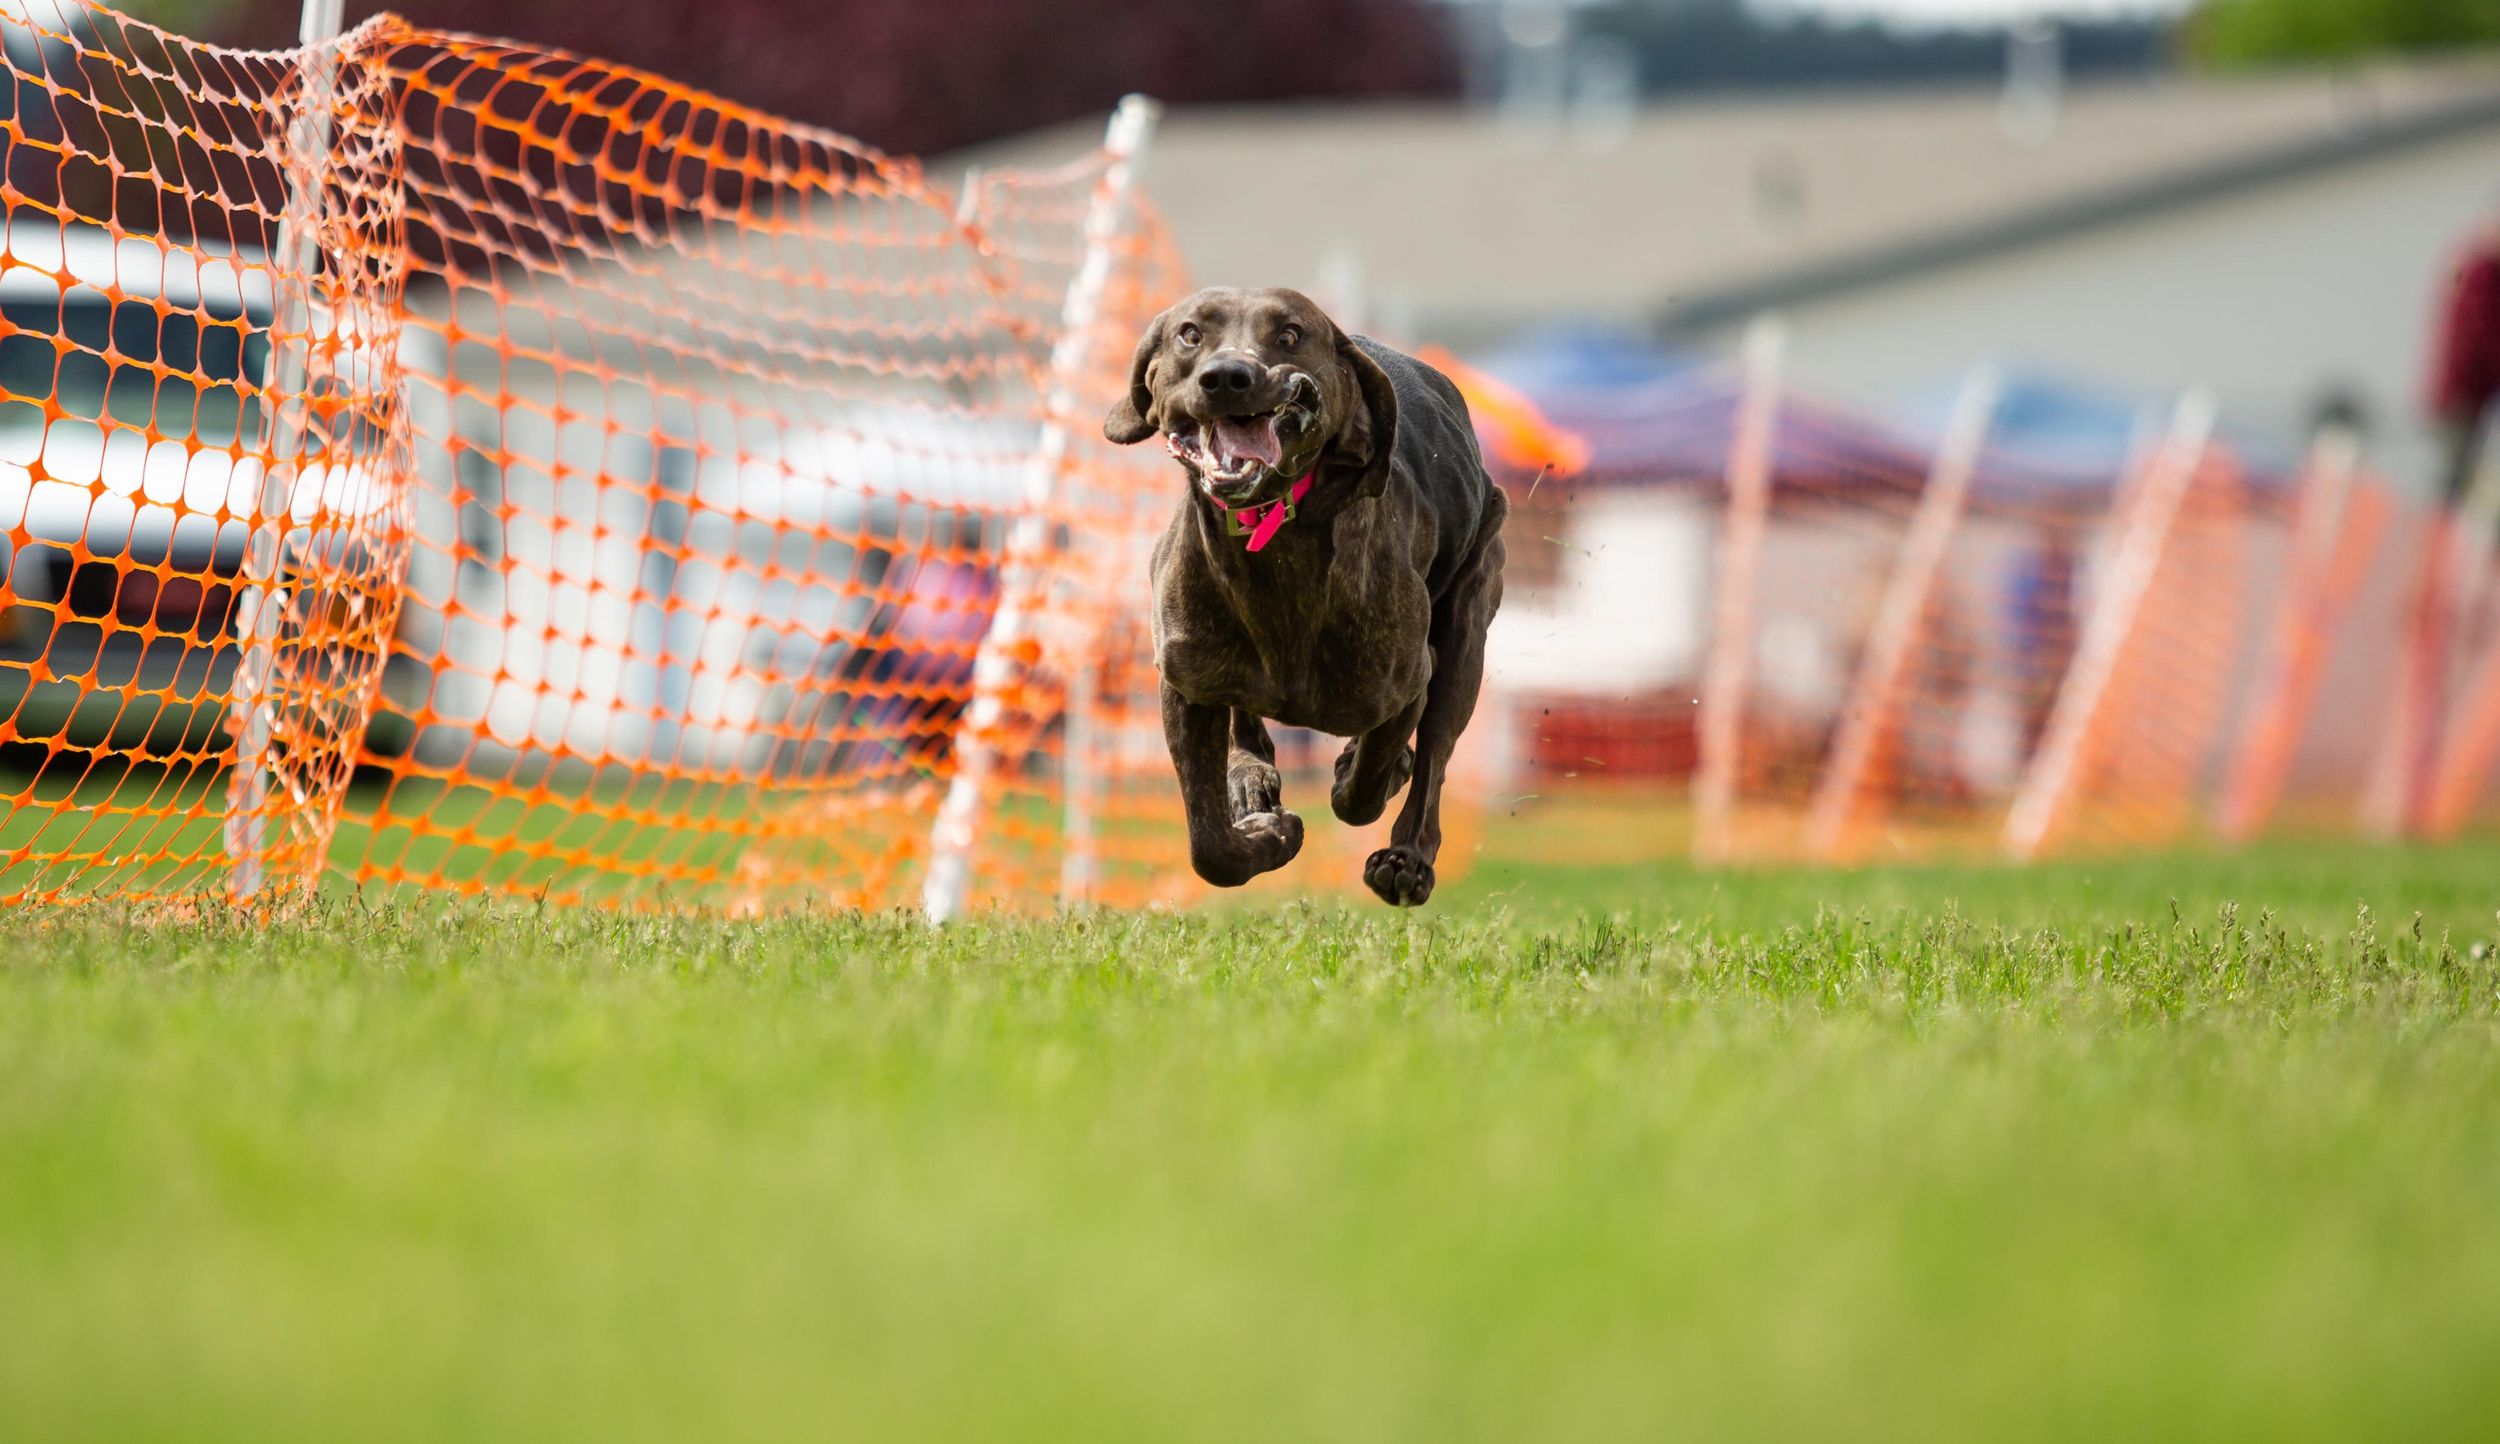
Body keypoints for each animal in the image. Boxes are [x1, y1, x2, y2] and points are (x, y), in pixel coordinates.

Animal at [1110, 287, 1500, 904]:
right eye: (1190, 333)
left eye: (1290, 335)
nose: (1228, 378)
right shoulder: (1187, 685)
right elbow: (1209, 847)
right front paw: (1269, 834)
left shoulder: (1407, 681)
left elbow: (1362, 789)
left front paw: (1366, 773)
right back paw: (1250, 774)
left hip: (1467, 632)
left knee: (1437, 752)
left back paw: (1407, 858)